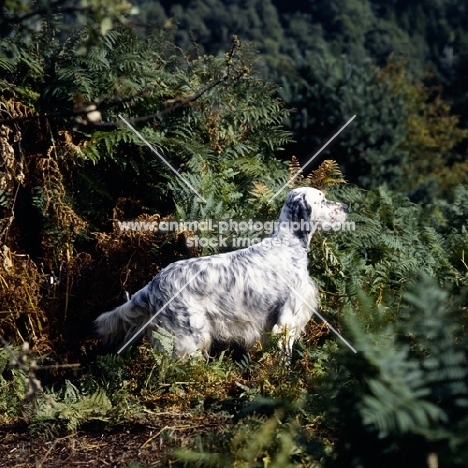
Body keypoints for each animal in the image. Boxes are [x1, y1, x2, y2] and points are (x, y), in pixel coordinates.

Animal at [95, 186, 348, 358]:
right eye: (323, 200)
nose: (347, 207)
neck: (289, 244)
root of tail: (153, 284)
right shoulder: (287, 321)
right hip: (188, 336)